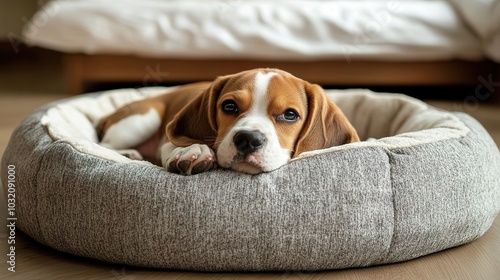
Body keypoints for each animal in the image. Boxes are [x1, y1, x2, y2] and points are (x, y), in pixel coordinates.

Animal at [96, 68, 360, 175]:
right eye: (229, 106)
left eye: (290, 114)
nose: (248, 139)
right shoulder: (167, 139)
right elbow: (175, 145)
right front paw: (192, 151)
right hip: (144, 118)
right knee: (104, 145)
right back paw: (129, 154)